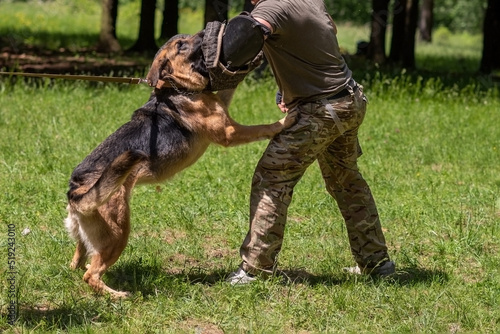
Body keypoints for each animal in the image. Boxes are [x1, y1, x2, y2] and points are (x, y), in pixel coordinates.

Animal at [65, 31, 294, 298]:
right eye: (181, 45)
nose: (204, 33)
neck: (178, 87)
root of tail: (75, 191)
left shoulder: (222, 107)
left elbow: (230, 88)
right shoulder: (230, 132)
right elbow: (262, 127)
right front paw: (285, 120)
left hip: (88, 237)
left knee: (78, 261)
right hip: (118, 233)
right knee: (90, 275)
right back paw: (118, 296)